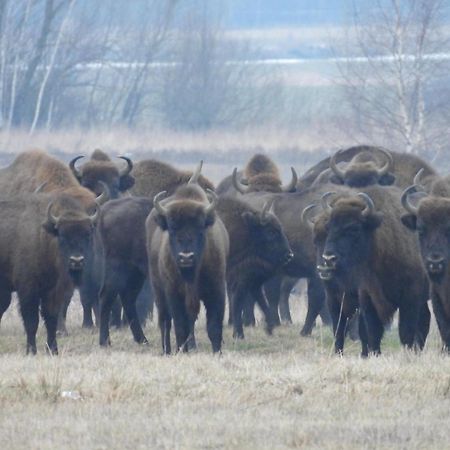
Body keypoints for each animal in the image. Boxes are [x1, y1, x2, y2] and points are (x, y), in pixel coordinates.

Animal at [148, 185, 229, 354]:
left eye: (200, 228)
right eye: (172, 228)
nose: (186, 257)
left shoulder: (217, 290)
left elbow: (214, 326)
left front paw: (217, 352)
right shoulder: (173, 293)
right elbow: (180, 326)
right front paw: (181, 351)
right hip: (158, 290)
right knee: (165, 321)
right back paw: (167, 351)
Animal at [310, 185, 428, 356]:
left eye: (353, 228)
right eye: (329, 226)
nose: (329, 258)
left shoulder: (410, 298)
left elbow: (406, 331)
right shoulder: (367, 297)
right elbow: (373, 332)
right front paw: (374, 354)